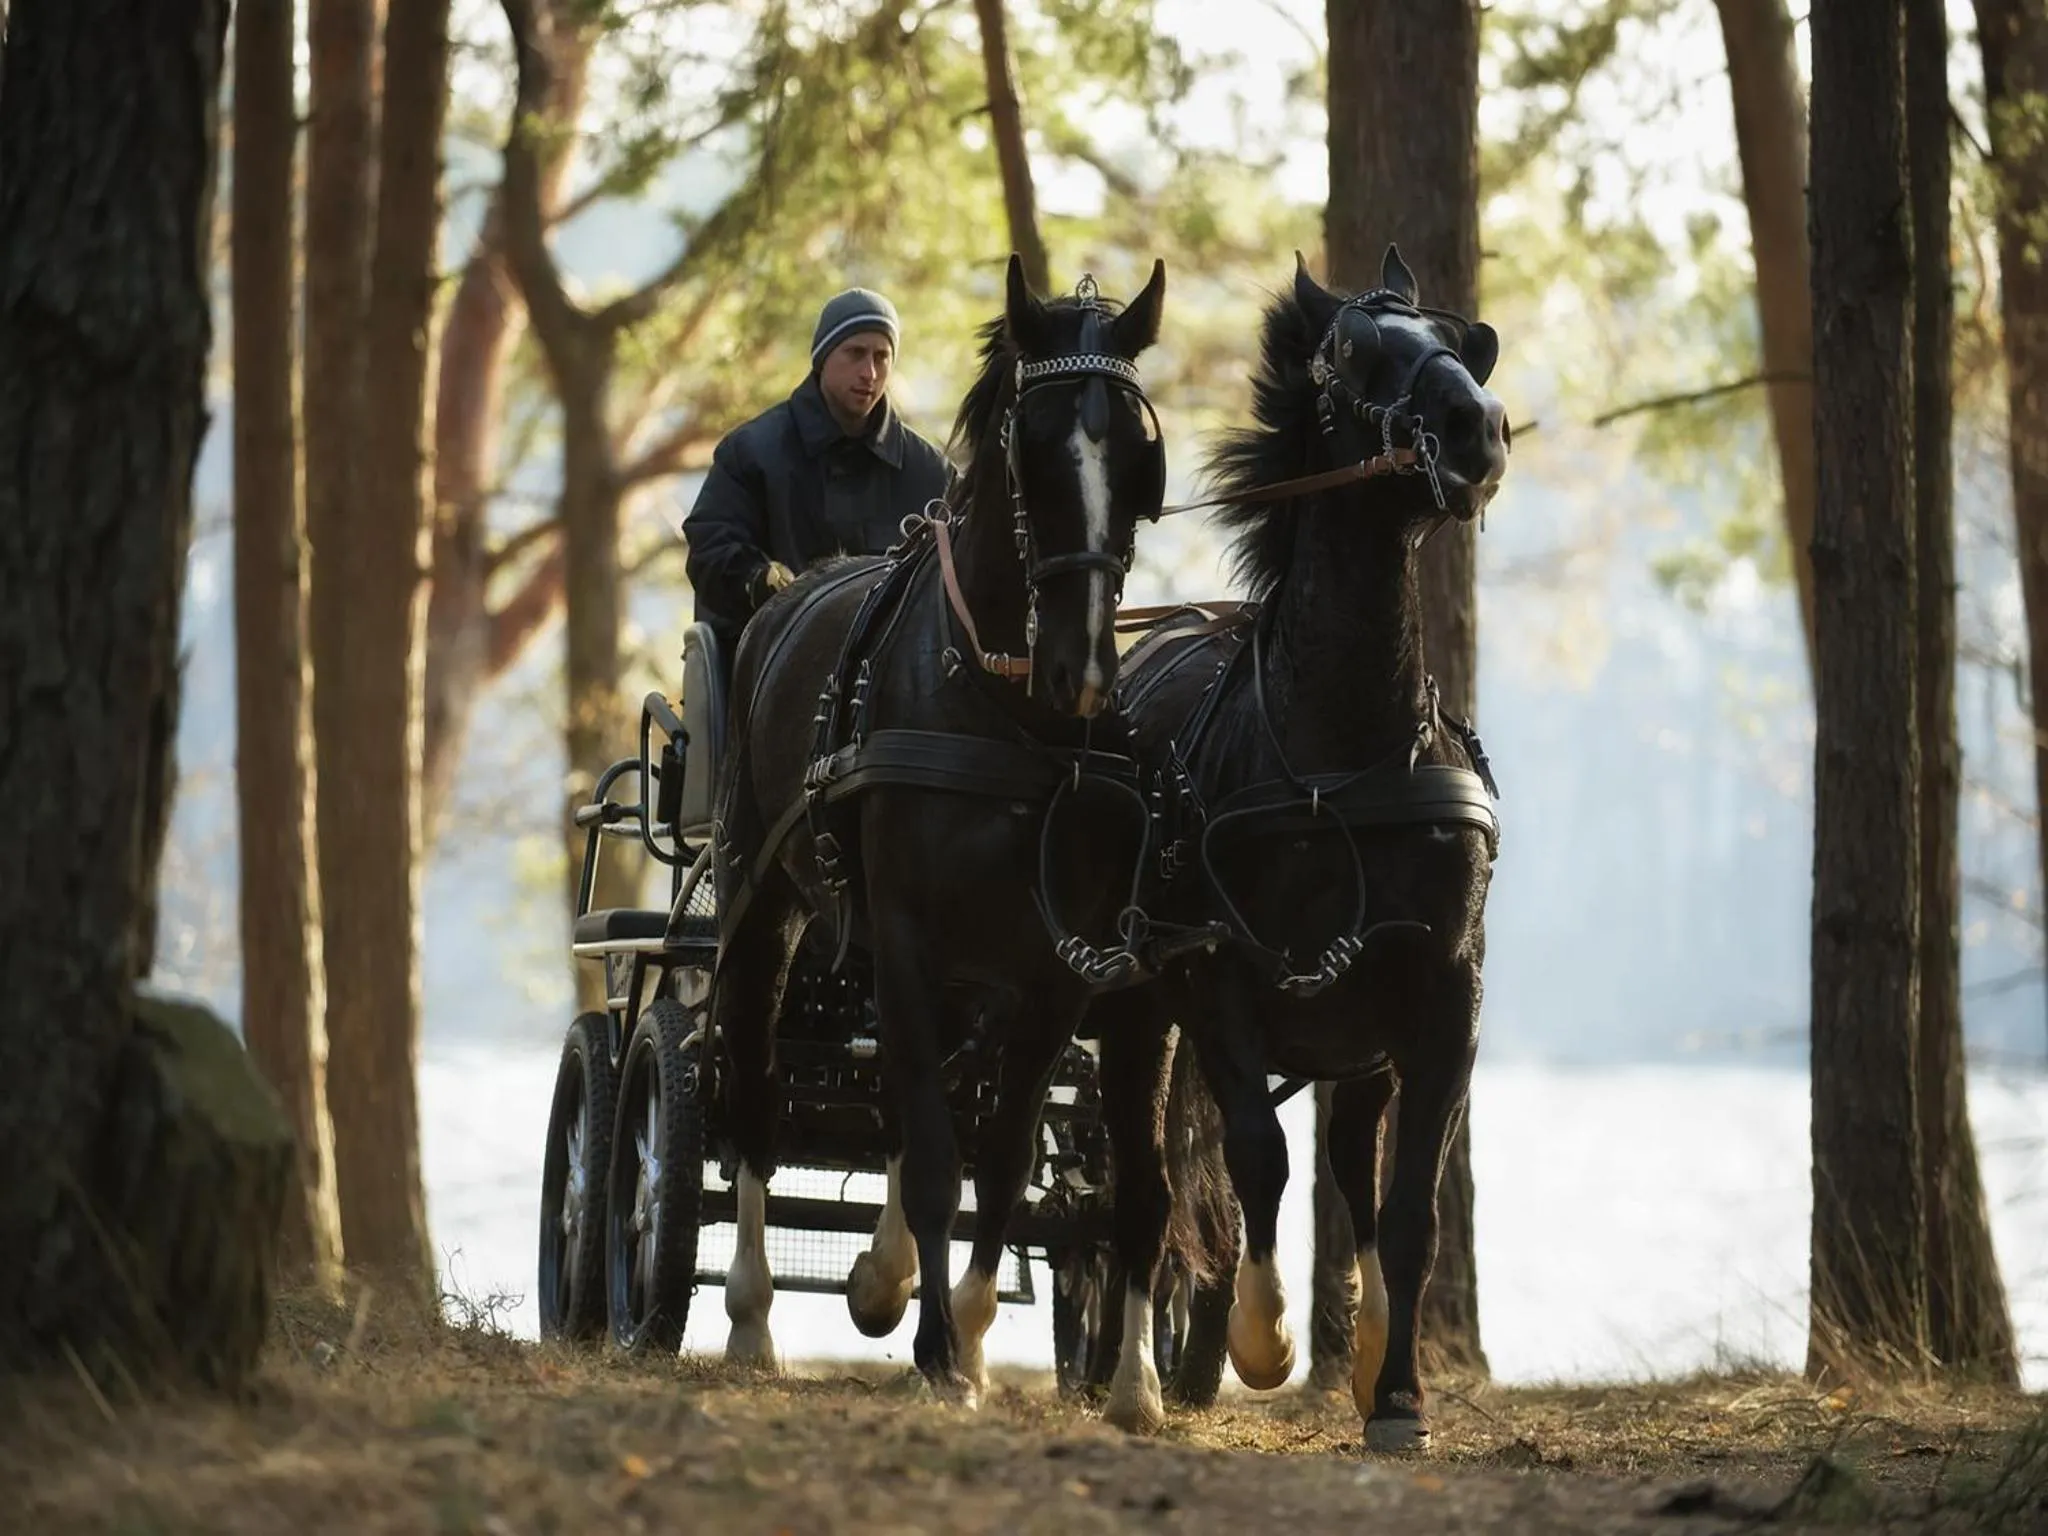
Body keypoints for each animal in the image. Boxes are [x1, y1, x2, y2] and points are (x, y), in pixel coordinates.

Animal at [708, 255, 1182, 1405]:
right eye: (1031, 445)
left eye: (1136, 454)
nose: (1080, 669)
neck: (995, 701)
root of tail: (793, 591)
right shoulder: (912, 942)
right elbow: (932, 1153)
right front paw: (935, 1350)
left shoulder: (1047, 972)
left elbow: (996, 1159)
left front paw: (955, 1328)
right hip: (764, 904)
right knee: (756, 1092)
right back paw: (752, 1319)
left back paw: (884, 1274)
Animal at [1084, 245, 1511, 1448]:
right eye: (1351, 356)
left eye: (1470, 344)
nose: (1477, 430)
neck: (1341, 763)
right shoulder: (1219, 981)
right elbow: (1253, 1163)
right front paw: (1261, 1336)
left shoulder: (1441, 1000)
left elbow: (1406, 1210)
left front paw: (1397, 1395)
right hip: (1137, 1013)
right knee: (1145, 1190)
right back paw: (1132, 1383)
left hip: (1355, 1047)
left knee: (1353, 1182)